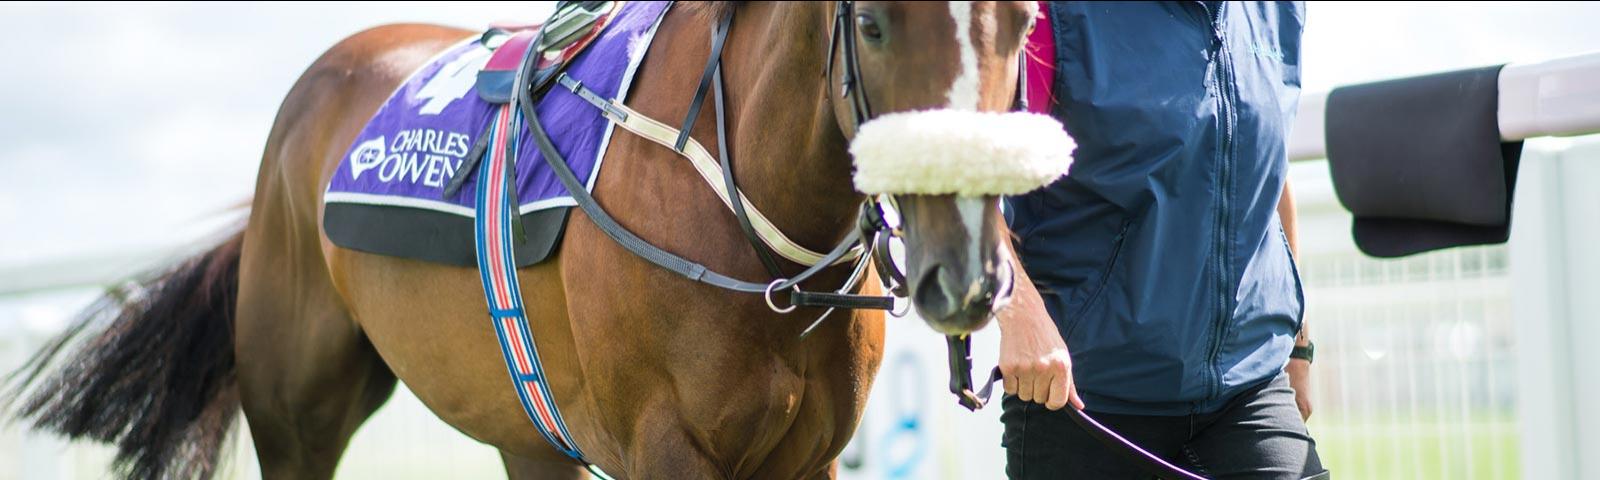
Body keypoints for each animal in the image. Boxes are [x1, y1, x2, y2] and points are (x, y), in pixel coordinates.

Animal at [7, 1, 1042, 478]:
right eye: (870, 23)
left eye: (1023, 21)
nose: (965, 273)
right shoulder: (667, 449)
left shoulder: (809, 456)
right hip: (296, 411)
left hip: (527, 431)